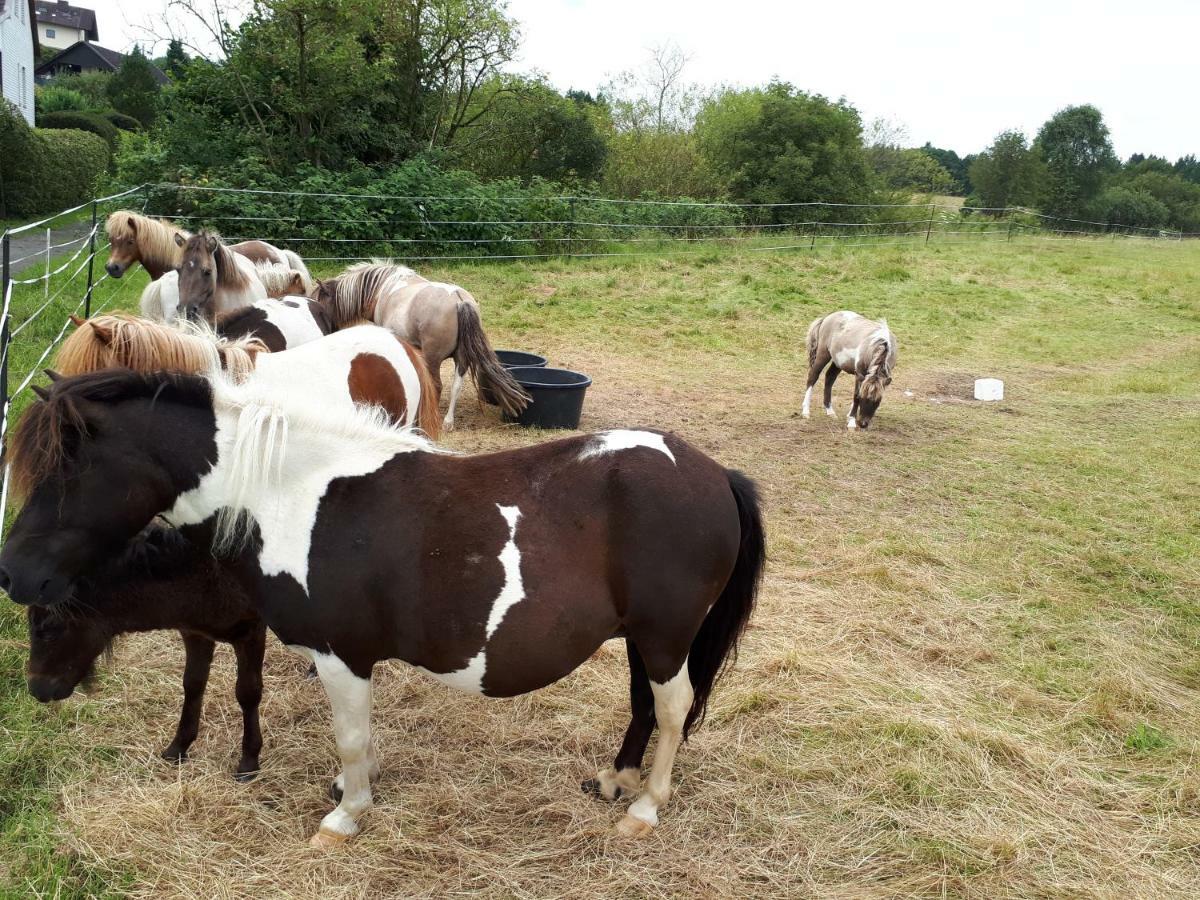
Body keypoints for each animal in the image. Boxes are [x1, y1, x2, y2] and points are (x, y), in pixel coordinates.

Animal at [0, 369, 763, 849]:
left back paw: (646, 807)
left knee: (670, 708)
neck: (290, 495)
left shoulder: (341, 658)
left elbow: (350, 736)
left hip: (666, 634)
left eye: (65, 468)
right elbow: (354, 741)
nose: (13, 575)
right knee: (643, 704)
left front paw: (345, 816)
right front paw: (349, 789)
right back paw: (615, 779)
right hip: (641, 636)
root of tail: (712, 472)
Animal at [312, 260, 528, 429]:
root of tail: (459, 299)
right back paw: (448, 421)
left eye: (318, 302)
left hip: (434, 358)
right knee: (456, 385)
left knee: (438, 386)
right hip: (461, 359)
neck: (383, 289)